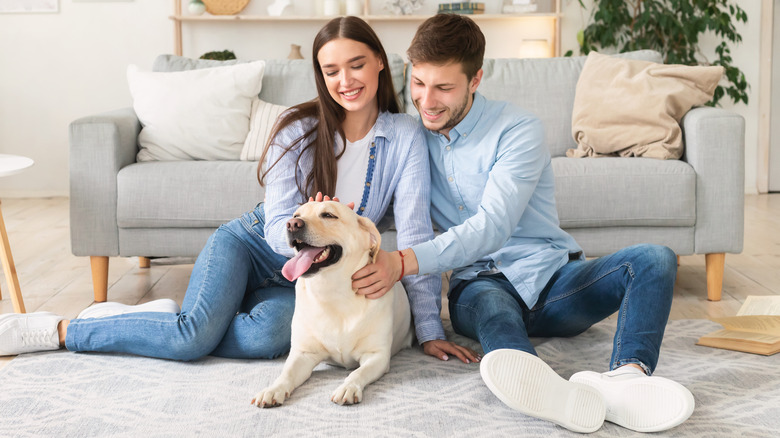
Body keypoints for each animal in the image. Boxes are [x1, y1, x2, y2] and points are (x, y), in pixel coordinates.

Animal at [254, 202, 414, 408]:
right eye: (296, 215)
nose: (292, 224)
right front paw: (273, 390)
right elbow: (286, 373)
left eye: (329, 215)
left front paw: (348, 387)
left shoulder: (376, 355)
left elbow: (357, 372)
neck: (333, 293)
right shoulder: (303, 353)